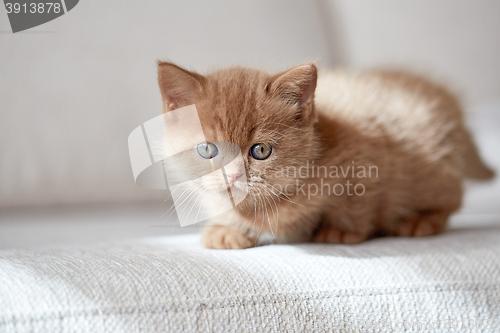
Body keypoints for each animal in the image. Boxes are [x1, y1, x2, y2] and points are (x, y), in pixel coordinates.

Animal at [158, 61, 494, 248]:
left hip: (434, 172)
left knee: (452, 197)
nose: (233, 175)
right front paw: (226, 230)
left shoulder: (363, 164)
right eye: (207, 149)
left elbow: (357, 204)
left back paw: (420, 221)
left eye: (261, 151)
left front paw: (339, 230)